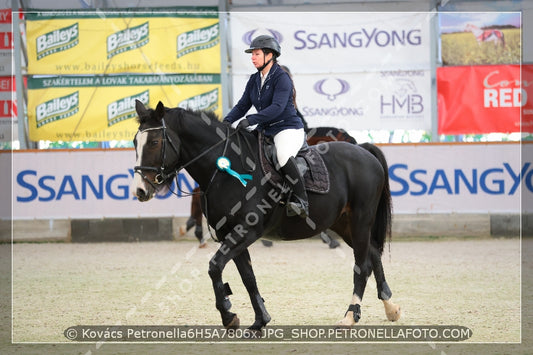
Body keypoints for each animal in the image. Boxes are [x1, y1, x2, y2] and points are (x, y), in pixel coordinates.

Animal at [132, 101, 400, 334]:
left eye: (154, 141)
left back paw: (351, 315)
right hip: (345, 224)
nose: (140, 191)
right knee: (373, 254)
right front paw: (259, 320)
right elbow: (248, 278)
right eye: (135, 141)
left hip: (360, 220)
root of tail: (363, 150)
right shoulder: (231, 234)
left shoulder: (245, 231)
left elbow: (215, 267)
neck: (227, 169)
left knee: (362, 265)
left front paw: (229, 315)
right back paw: (390, 307)